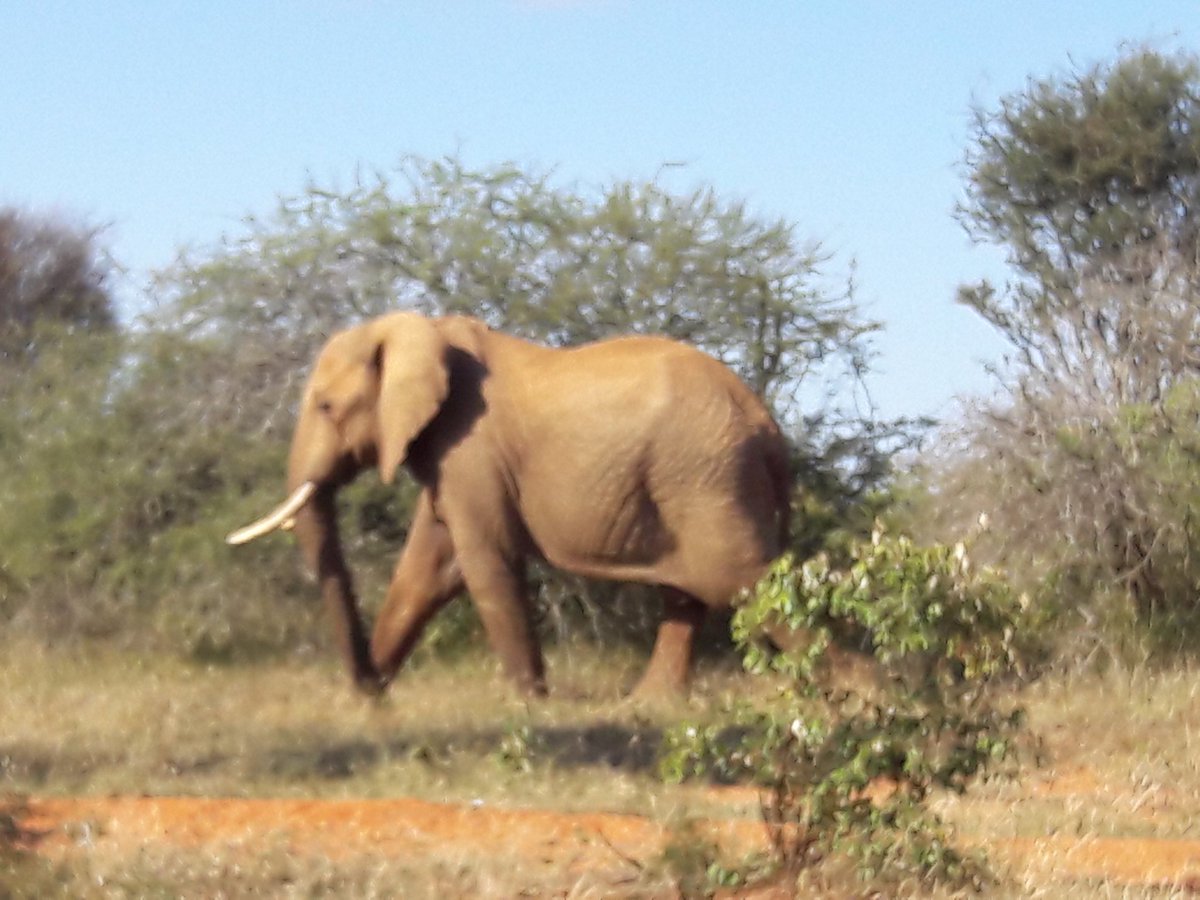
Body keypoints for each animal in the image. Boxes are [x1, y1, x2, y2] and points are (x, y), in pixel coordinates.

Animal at [228, 312, 791, 698]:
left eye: (326, 406)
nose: (366, 680)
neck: (423, 331)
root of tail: (767, 424)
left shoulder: (471, 449)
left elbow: (484, 562)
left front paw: (530, 703)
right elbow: (426, 569)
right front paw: (371, 703)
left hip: (705, 477)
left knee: (744, 580)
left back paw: (815, 689)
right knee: (689, 595)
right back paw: (648, 705)